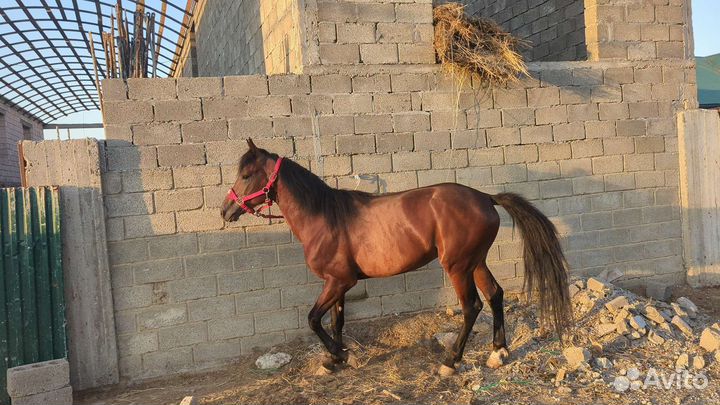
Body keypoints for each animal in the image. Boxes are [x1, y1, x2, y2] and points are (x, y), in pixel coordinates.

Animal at [221, 139, 572, 376]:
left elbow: (313, 319)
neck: (325, 217)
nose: (225, 210)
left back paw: (450, 361)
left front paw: (341, 355)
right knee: (495, 295)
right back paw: (499, 351)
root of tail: (485, 198)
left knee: (472, 306)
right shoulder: (338, 284)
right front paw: (334, 360)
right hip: (476, 262)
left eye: (247, 174)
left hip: (457, 267)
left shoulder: (339, 282)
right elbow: (335, 320)